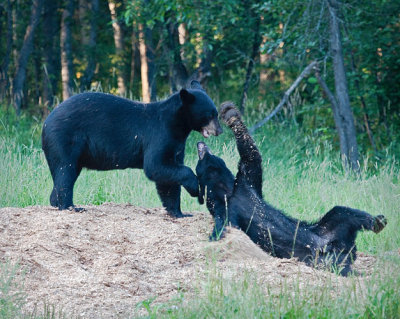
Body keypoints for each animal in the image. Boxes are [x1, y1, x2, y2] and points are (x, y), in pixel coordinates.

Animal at [42, 81, 223, 219]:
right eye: (210, 114)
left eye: (216, 113)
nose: (219, 130)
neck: (177, 125)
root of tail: (46, 122)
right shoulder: (160, 135)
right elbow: (156, 165)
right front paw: (194, 188)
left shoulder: (176, 143)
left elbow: (168, 177)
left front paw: (179, 213)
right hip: (64, 139)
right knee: (65, 170)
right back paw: (70, 206)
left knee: (65, 174)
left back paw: (57, 202)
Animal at [195, 103, 386, 278]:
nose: (200, 144)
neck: (227, 191)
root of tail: (342, 249)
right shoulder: (225, 211)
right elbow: (224, 228)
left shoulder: (246, 183)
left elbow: (251, 155)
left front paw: (230, 114)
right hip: (319, 259)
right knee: (338, 254)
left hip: (327, 229)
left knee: (342, 212)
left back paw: (377, 222)